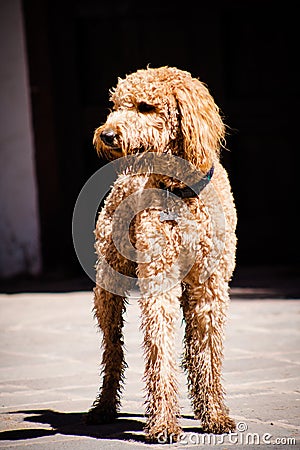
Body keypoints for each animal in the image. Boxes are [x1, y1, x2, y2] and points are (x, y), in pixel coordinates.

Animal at [86, 67, 237, 442]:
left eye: (145, 106)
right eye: (116, 105)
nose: (106, 134)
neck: (181, 192)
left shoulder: (209, 287)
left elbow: (207, 351)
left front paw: (215, 414)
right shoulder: (159, 280)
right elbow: (160, 350)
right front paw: (164, 423)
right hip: (107, 288)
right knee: (113, 349)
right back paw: (103, 408)